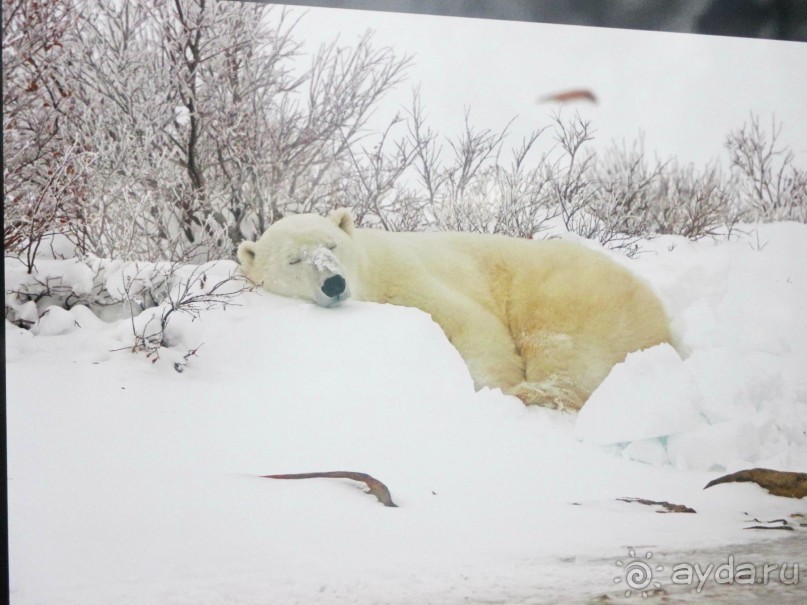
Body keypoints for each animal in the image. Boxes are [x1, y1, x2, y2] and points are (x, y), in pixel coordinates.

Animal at [237, 208, 672, 410]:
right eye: (293, 260)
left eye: (331, 245)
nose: (334, 283)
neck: (370, 276)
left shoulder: (406, 274)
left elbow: (472, 325)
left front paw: (497, 390)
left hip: (568, 292)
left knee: (562, 346)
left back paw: (532, 392)